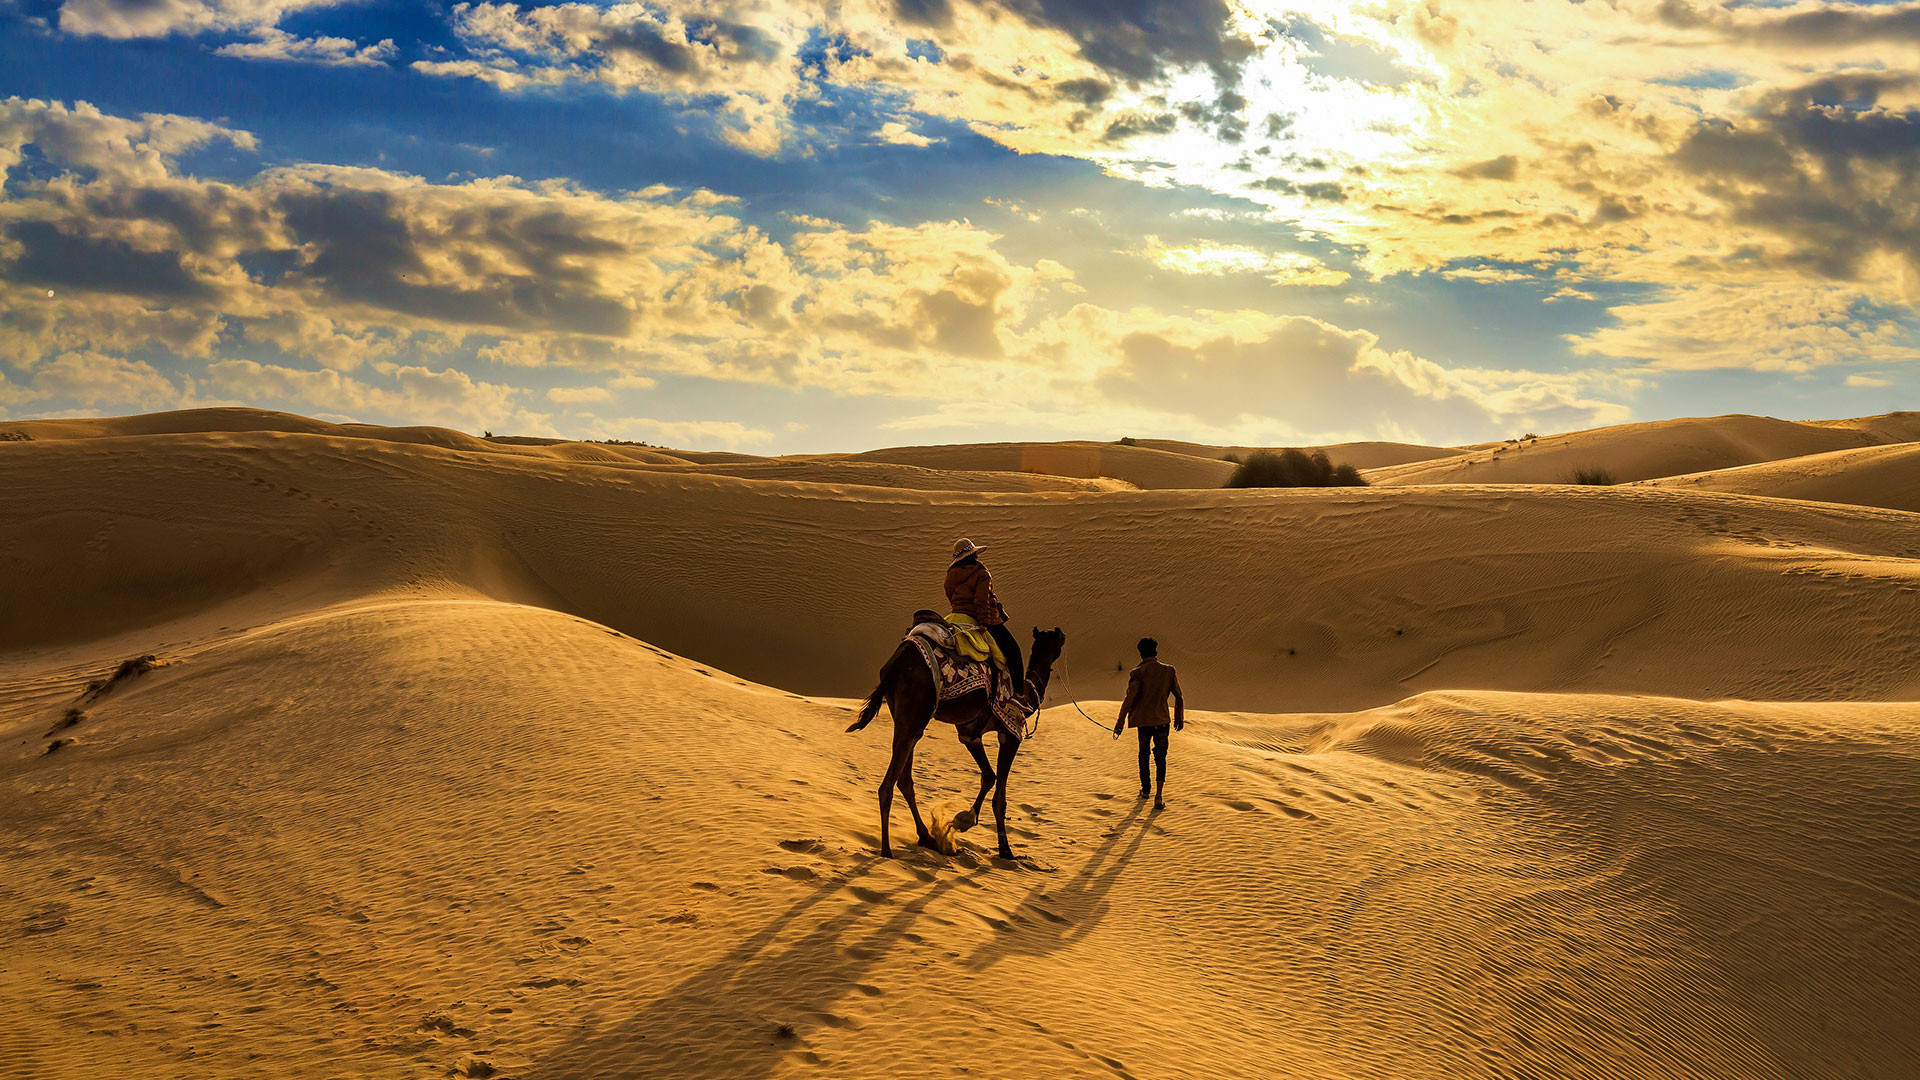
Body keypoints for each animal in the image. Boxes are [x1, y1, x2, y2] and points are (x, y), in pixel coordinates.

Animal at [852, 622, 1075, 857]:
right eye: (1058, 639)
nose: (1063, 633)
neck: (1028, 695)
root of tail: (896, 663)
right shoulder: (1010, 733)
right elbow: (999, 796)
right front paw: (1004, 849)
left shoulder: (969, 734)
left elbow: (989, 776)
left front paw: (963, 820)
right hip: (914, 712)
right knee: (887, 786)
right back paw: (887, 850)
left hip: (906, 719)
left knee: (904, 780)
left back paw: (927, 837)